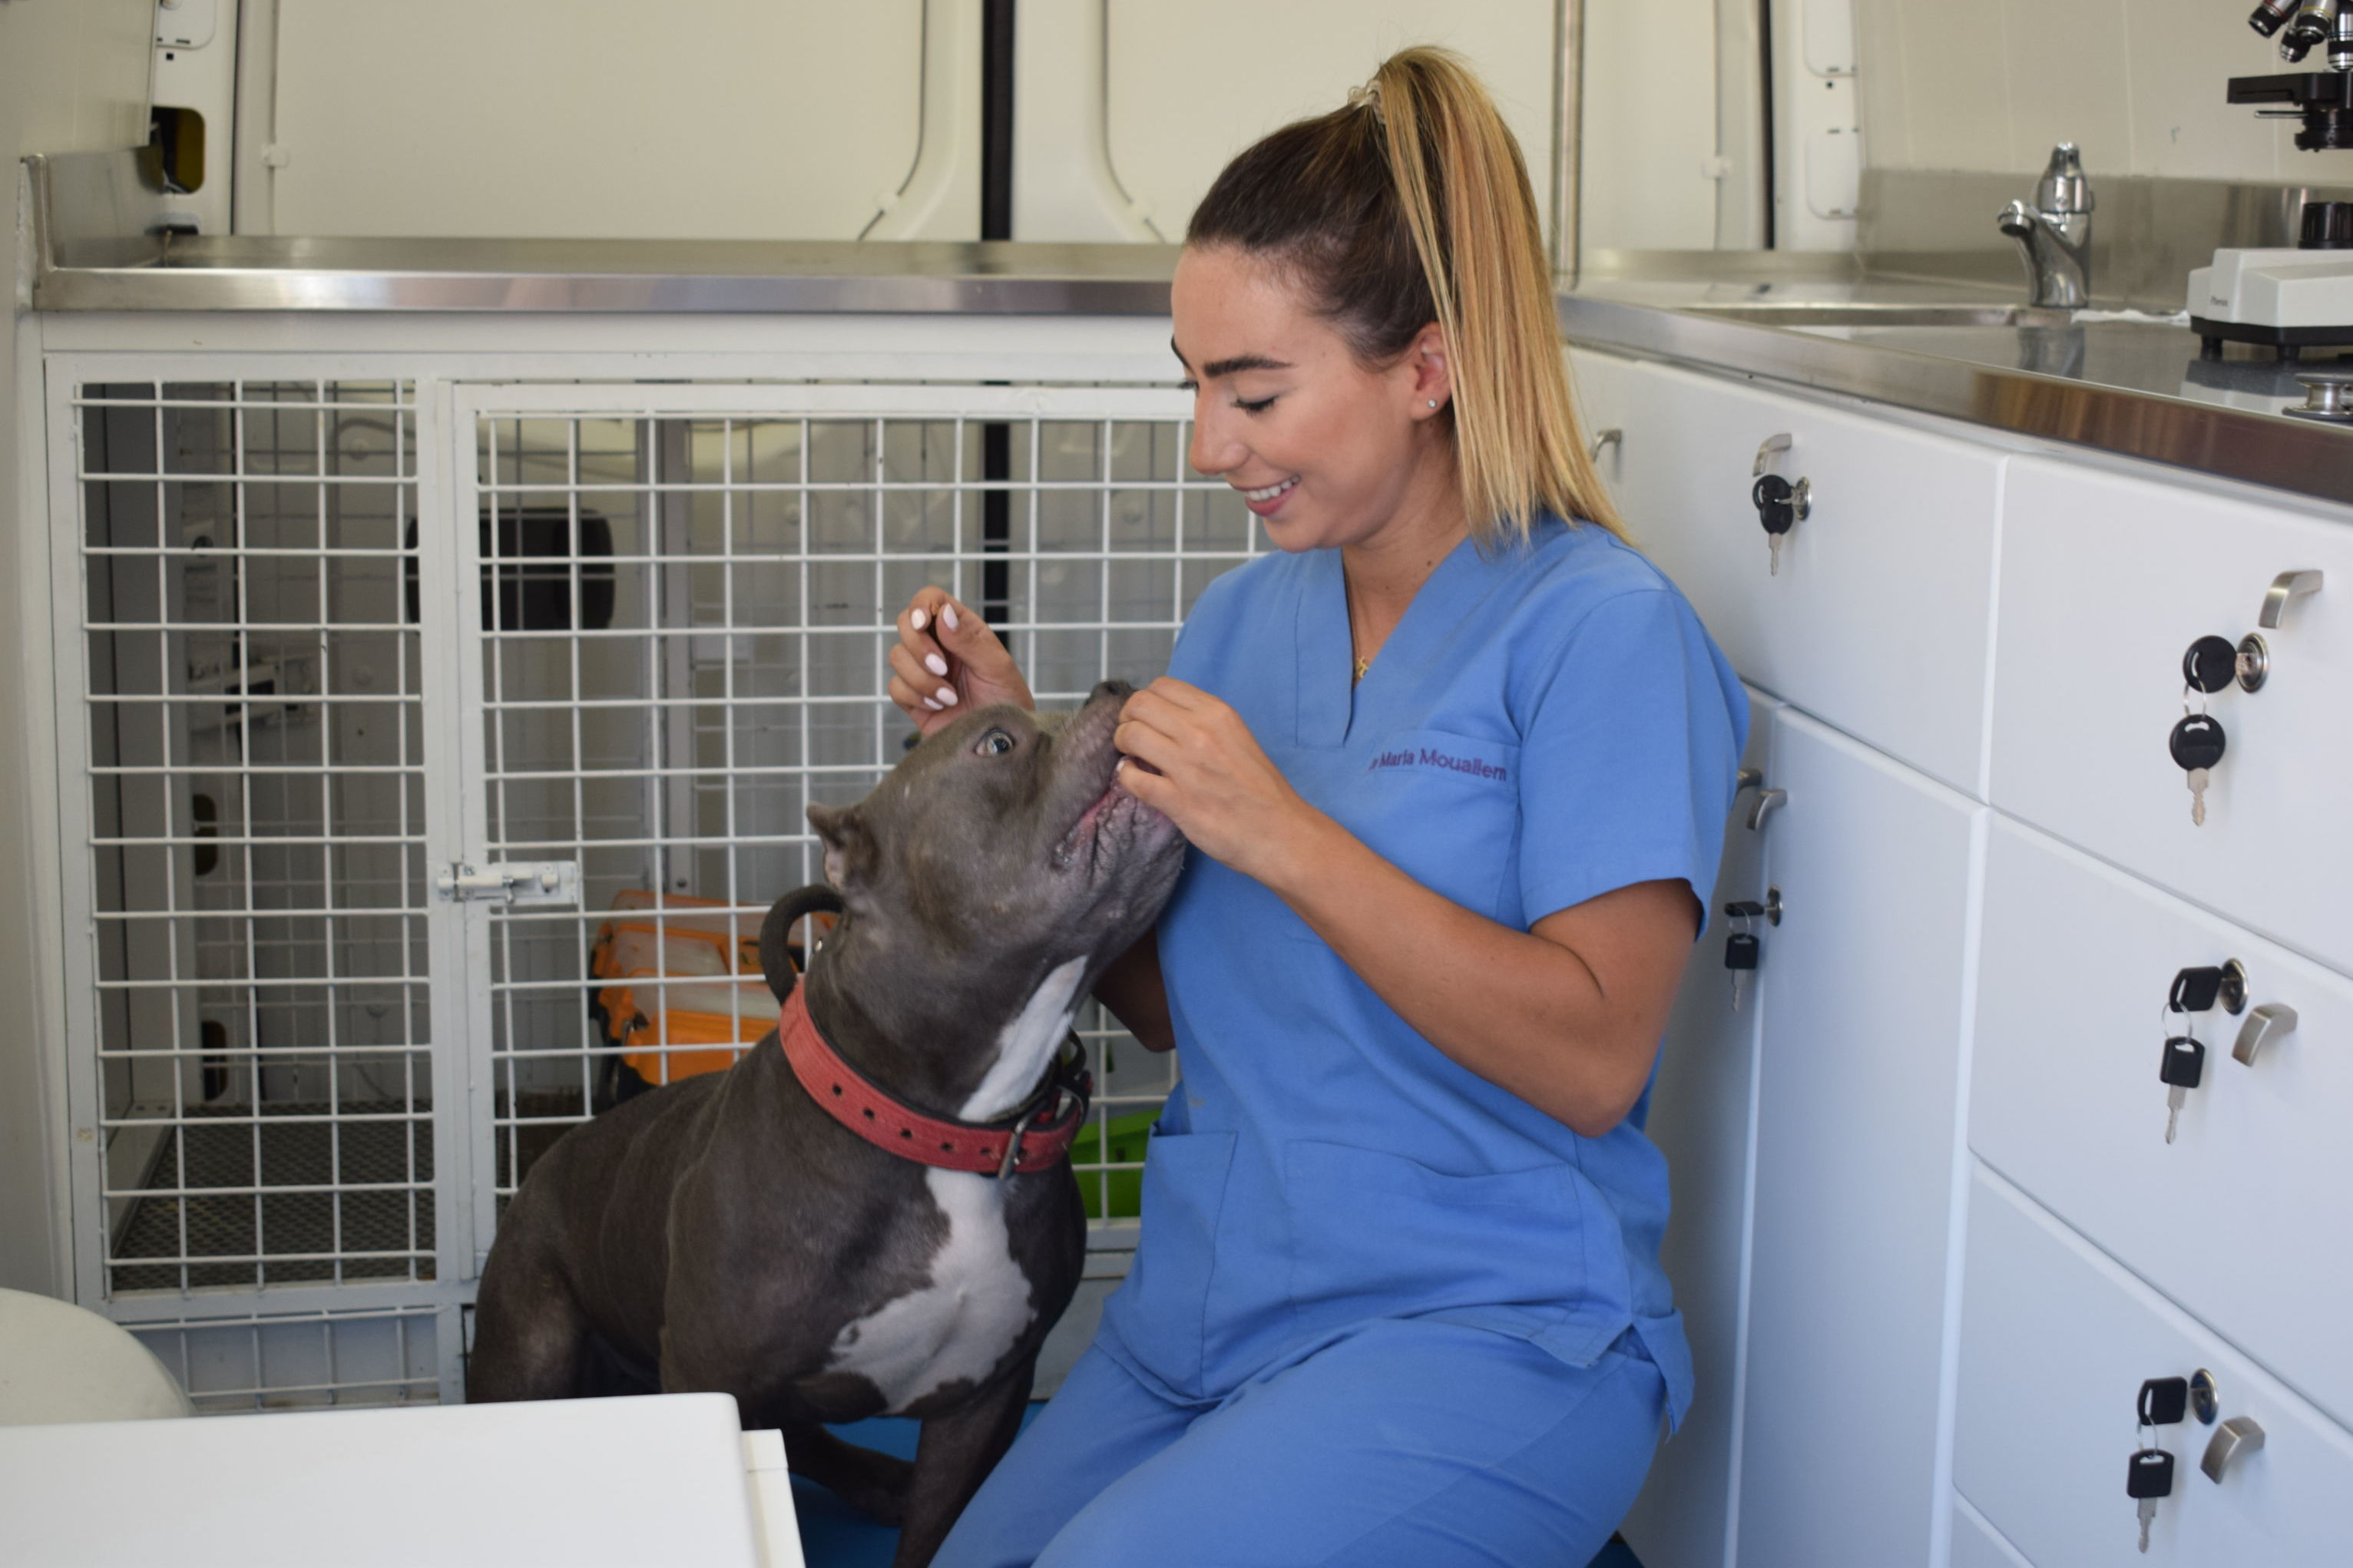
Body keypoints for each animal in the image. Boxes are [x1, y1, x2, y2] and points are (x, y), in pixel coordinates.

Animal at [468, 681, 1185, 1566]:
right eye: (996, 743)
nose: (1117, 685)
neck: (939, 1128)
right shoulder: (712, 1375)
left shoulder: (982, 1402)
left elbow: (933, 1533)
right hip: (531, 1346)